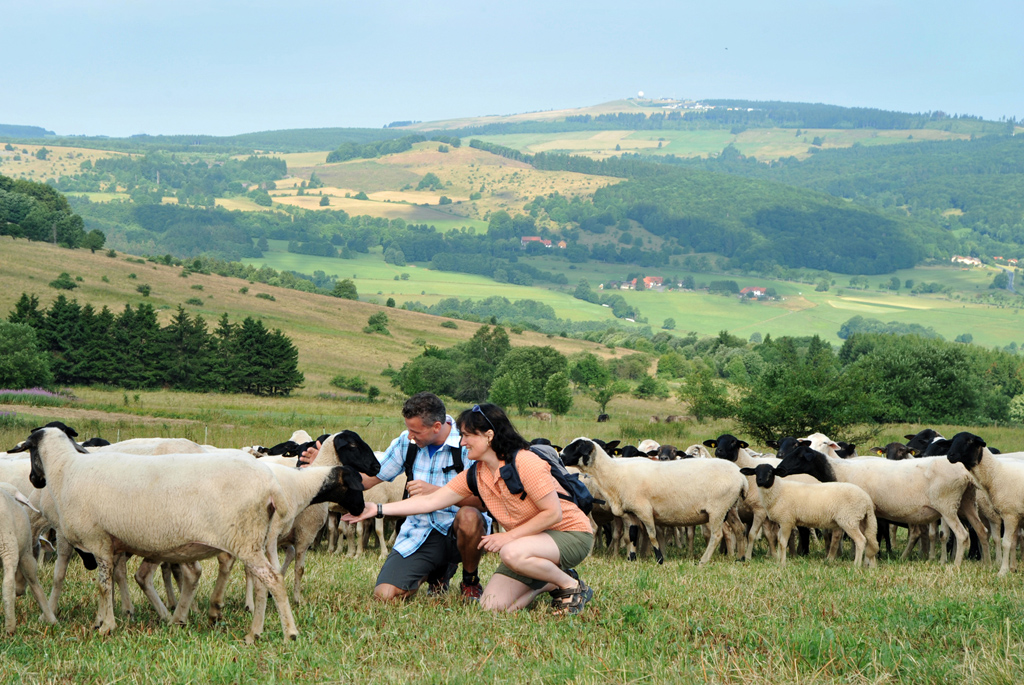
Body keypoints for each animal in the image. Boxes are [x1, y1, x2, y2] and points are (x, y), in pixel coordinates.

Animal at [0, 483, 56, 634]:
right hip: (8, 544)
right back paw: (10, 627)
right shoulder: (26, 554)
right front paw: (51, 619)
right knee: (8, 585)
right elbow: (35, 585)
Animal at [11, 427, 376, 643]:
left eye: (29, 451)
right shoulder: (108, 544)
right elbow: (109, 584)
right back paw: (253, 632)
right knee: (262, 583)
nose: (34, 479)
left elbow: (103, 586)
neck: (65, 470)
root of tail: (271, 485)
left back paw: (289, 633)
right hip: (254, 541)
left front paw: (107, 626)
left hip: (245, 540)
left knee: (273, 580)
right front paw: (106, 620)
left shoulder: (98, 541)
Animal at [561, 436, 745, 565]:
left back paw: (703, 561)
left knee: (717, 535)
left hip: (718, 509)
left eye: (578, 446)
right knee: (739, 529)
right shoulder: (630, 512)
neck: (616, 473)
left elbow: (652, 535)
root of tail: (742, 477)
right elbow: (632, 535)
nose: (561, 455)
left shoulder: (644, 510)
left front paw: (659, 559)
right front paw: (631, 559)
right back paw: (740, 558)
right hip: (730, 508)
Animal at [737, 464, 880, 565]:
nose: (760, 481)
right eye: (756, 472)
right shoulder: (782, 522)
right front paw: (778, 560)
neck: (778, 491)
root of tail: (867, 500)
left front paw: (782, 563)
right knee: (870, 540)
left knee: (861, 540)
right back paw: (870, 566)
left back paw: (856, 565)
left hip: (849, 520)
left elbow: (783, 542)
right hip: (861, 520)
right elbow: (779, 540)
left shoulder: (786, 520)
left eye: (771, 471)